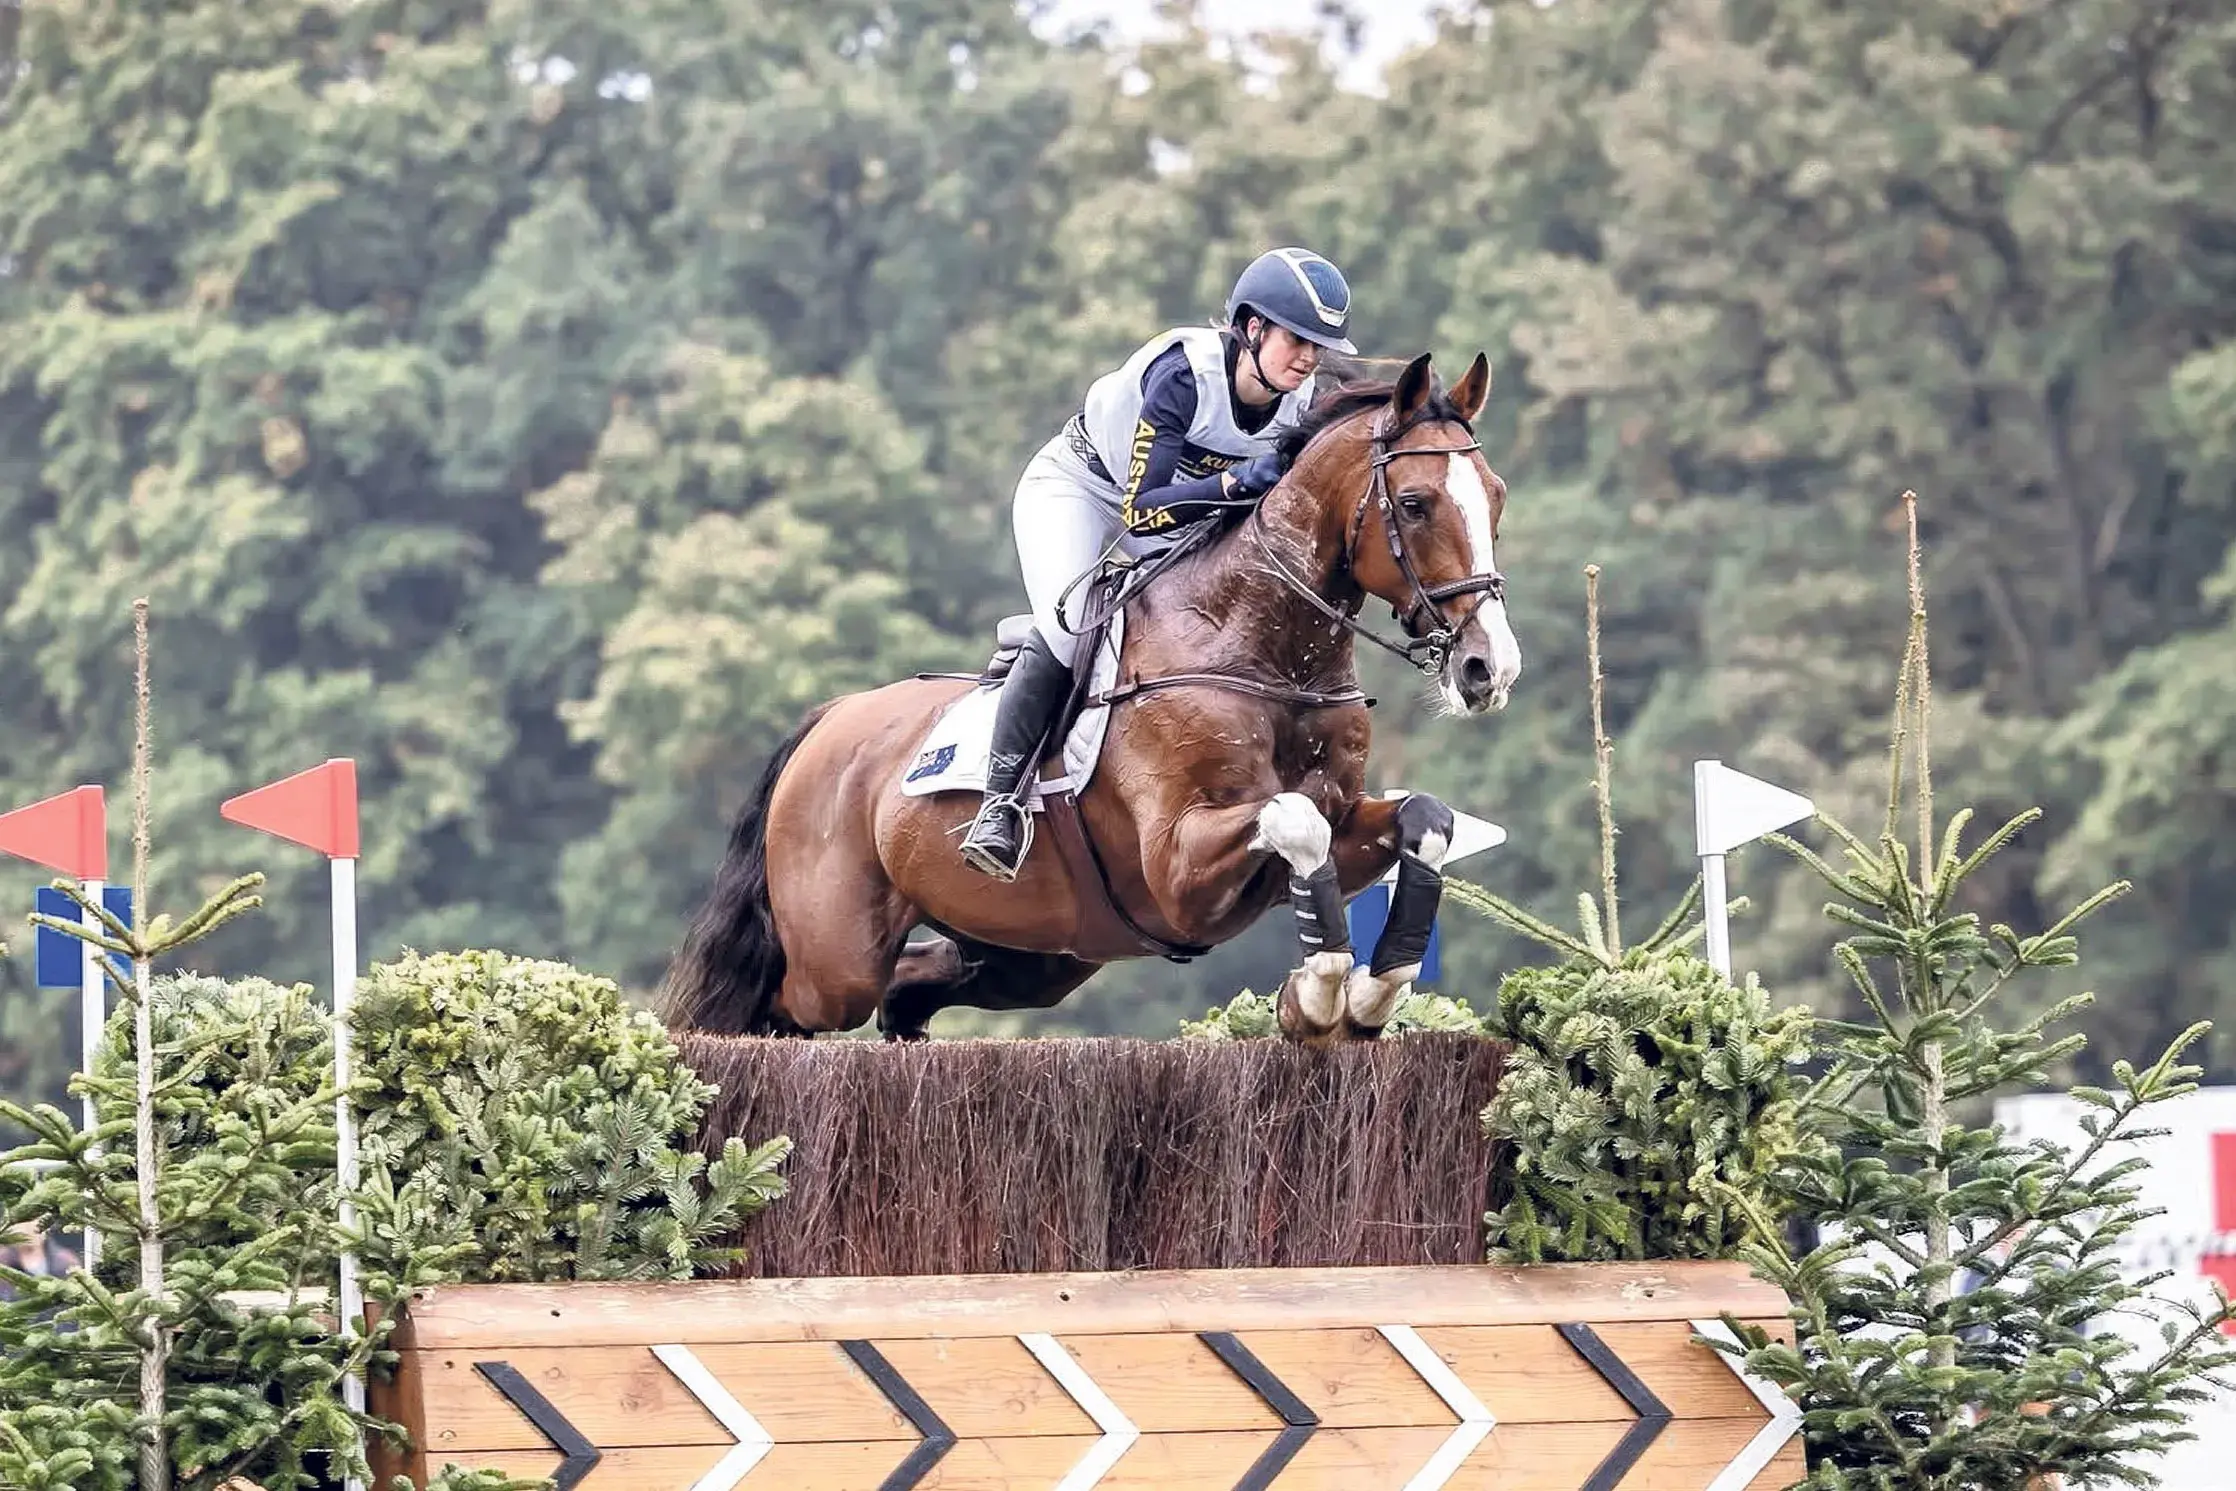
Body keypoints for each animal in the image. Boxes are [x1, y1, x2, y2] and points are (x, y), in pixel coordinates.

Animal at [658, 349, 1523, 1044]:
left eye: (1496, 496)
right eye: (1414, 504)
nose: (1491, 666)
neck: (1265, 653)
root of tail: (829, 721)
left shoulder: (1336, 824)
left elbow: (1423, 821)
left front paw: (1371, 991)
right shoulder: (1179, 864)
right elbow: (1293, 819)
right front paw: (1316, 996)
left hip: (1033, 954)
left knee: (907, 993)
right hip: (835, 963)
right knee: (775, 1006)